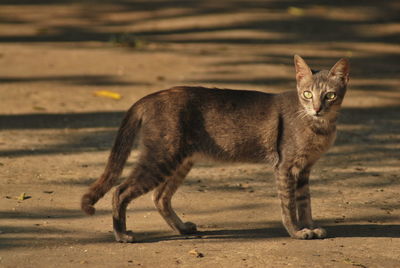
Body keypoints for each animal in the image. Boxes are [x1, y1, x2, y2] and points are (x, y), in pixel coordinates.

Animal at [82, 56, 350, 243]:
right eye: (307, 94)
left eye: (330, 95)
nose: (317, 108)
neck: (320, 127)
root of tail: (150, 97)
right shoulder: (285, 166)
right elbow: (289, 205)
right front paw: (297, 232)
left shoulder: (304, 169)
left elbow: (305, 202)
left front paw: (310, 226)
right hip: (161, 157)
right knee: (120, 191)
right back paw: (122, 235)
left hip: (180, 160)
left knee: (160, 196)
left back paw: (182, 228)